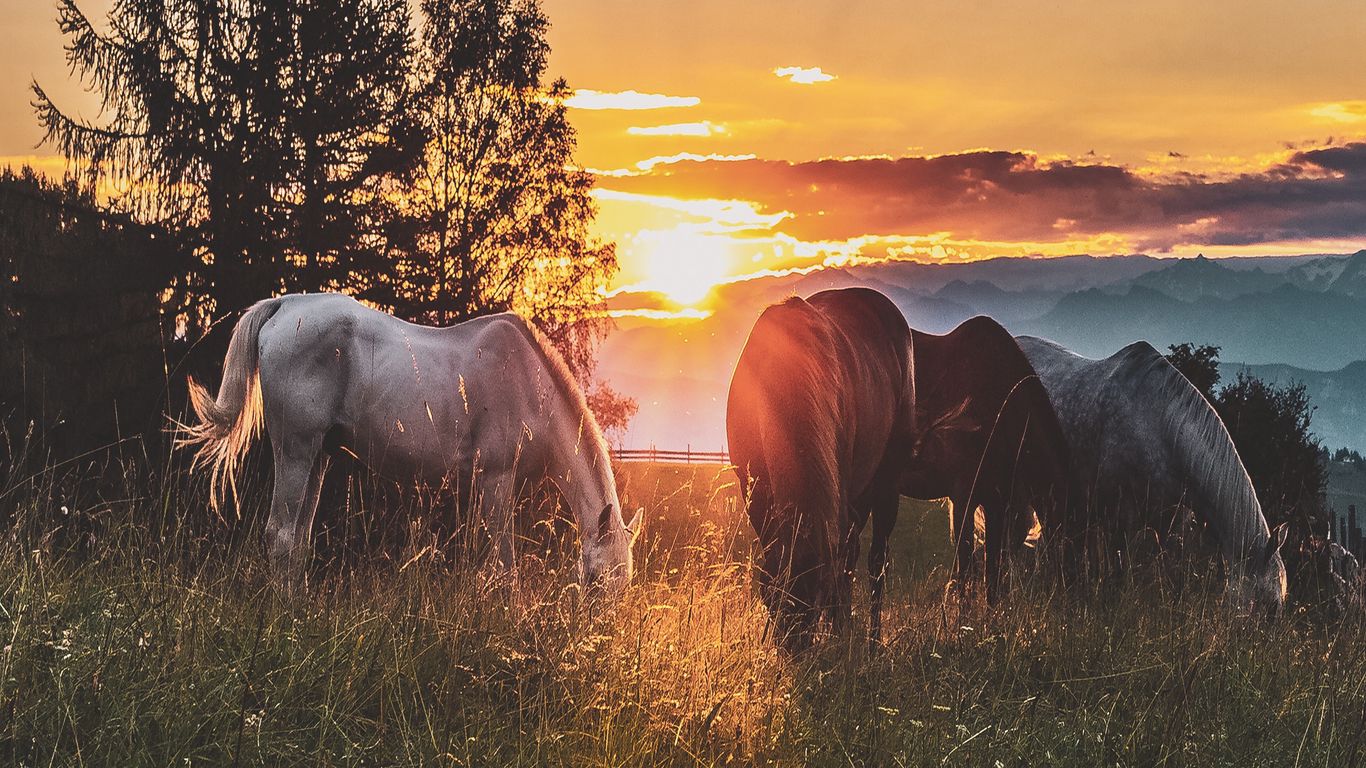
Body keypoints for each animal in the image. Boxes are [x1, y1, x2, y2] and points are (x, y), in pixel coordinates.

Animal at [180, 289, 639, 595]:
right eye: (597, 580)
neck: (528, 383)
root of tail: (285, 306)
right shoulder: (496, 480)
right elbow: (504, 564)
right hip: (295, 449)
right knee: (281, 535)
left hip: (318, 456)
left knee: (298, 540)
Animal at [726, 285, 917, 645]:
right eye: (771, 599)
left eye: (813, 604)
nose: (794, 650)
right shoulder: (755, 494)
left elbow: (843, 566)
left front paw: (839, 631)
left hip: (886, 485)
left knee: (875, 561)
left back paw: (870, 640)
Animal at [1021, 334, 1284, 609]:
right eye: (1270, 604)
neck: (1160, 428)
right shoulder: (1121, 518)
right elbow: (1119, 571)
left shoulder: (1173, 524)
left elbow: (1174, 576)